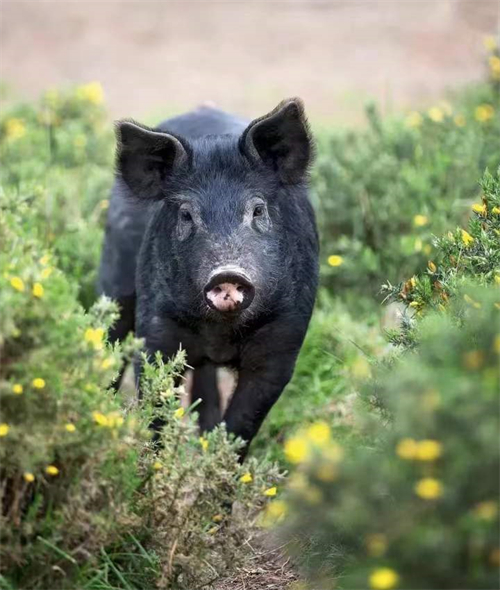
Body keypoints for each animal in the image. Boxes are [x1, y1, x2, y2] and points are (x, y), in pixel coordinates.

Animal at [98, 99, 318, 460]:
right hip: (114, 281)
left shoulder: (284, 341)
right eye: (187, 214)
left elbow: (241, 426)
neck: (220, 332)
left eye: (257, 210)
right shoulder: (156, 326)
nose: (227, 273)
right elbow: (156, 405)